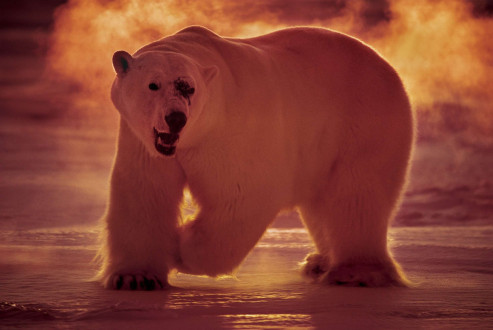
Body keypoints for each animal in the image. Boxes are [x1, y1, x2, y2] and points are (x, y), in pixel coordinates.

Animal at [96, 25, 412, 288]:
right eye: (153, 84)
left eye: (190, 88)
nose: (176, 119)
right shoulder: (142, 143)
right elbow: (144, 193)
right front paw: (136, 277)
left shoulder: (232, 131)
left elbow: (239, 195)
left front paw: (180, 249)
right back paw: (319, 262)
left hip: (363, 121)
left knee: (356, 195)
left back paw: (355, 272)